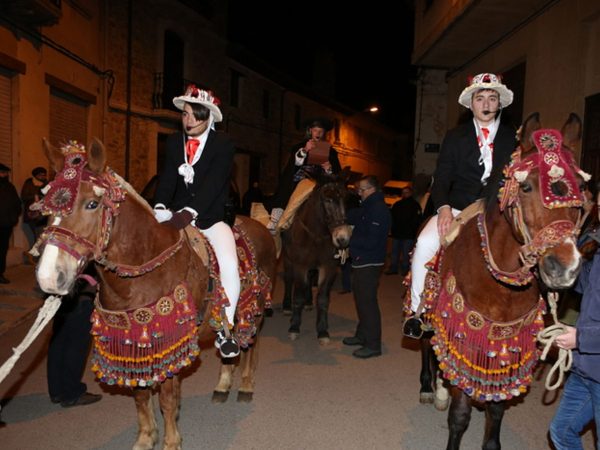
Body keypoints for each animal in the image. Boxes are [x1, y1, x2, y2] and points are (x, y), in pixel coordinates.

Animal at [33, 140, 276, 450]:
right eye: (46, 209)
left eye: (92, 204)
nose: (49, 277)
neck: (141, 273)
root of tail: (262, 226)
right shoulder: (134, 341)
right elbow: (140, 395)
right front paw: (146, 438)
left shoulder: (170, 339)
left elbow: (167, 400)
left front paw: (171, 442)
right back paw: (222, 385)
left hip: (252, 311)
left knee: (250, 346)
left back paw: (245, 385)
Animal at [280, 174, 352, 342]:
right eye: (327, 199)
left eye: (346, 199)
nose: (342, 238)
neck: (317, 235)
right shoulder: (300, 266)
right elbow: (298, 295)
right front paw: (294, 326)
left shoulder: (328, 267)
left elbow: (323, 299)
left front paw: (322, 330)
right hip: (287, 259)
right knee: (288, 279)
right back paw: (287, 306)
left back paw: (308, 302)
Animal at [412, 113, 584, 450]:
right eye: (526, 186)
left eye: (582, 188)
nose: (564, 267)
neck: (502, 284)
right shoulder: (465, 335)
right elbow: (460, 414)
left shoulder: (508, 341)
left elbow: (497, 409)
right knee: (426, 342)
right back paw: (428, 387)